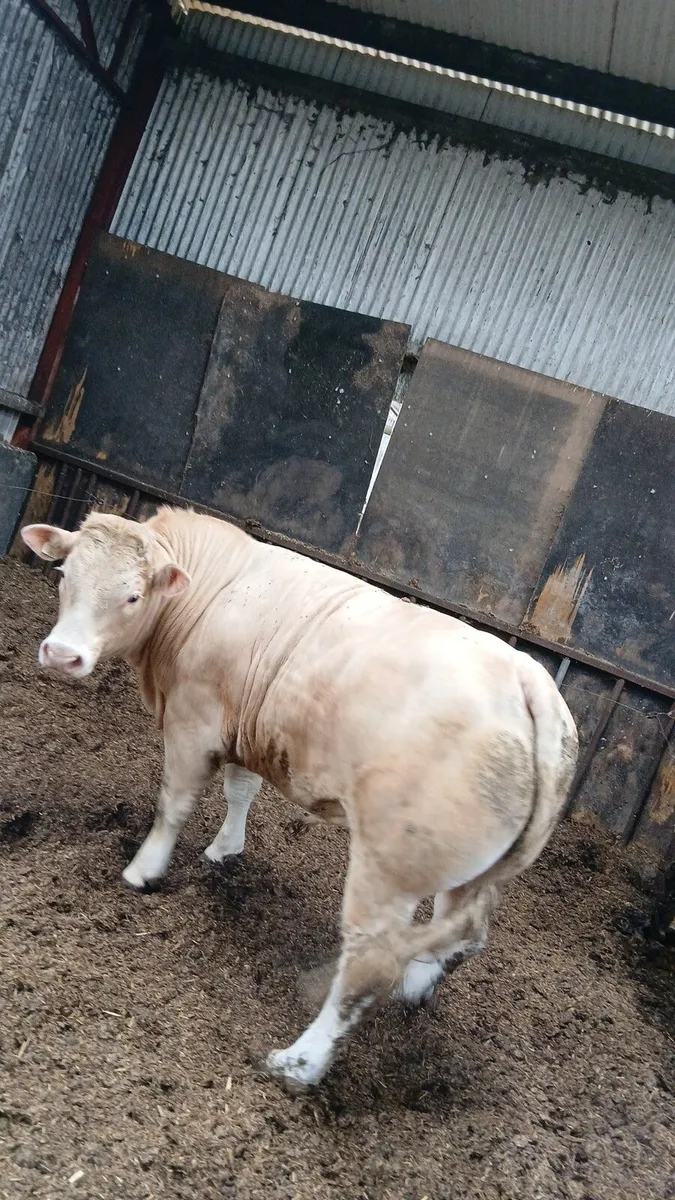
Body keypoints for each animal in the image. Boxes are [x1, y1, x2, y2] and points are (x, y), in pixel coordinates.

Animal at [21, 507, 578, 1091]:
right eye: (64, 574)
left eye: (132, 596)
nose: (62, 654)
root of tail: (528, 676)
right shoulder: (243, 724)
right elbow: (241, 789)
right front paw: (224, 850)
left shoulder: (193, 721)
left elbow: (173, 803)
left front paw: (144, 869)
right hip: (470, 872)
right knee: (464, 935)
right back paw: (414, 989)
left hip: (388, 872)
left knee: (368, 969)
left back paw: (298, 1062)